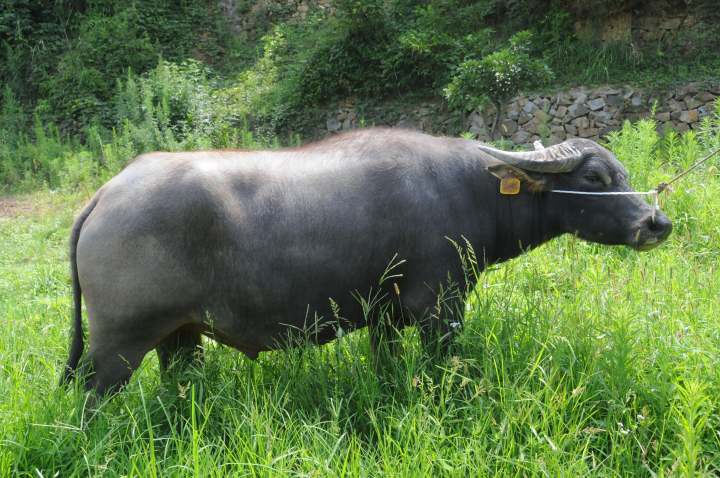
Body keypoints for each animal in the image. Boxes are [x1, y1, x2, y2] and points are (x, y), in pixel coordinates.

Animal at [60, 127, 668, 392]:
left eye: (624, 173)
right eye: (595, 178)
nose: (655, 222)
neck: (468, 191)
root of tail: (106, 194)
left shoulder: (386, 317)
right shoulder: (440, 309)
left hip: (179, 336)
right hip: (118, 344)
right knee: (93, 395)